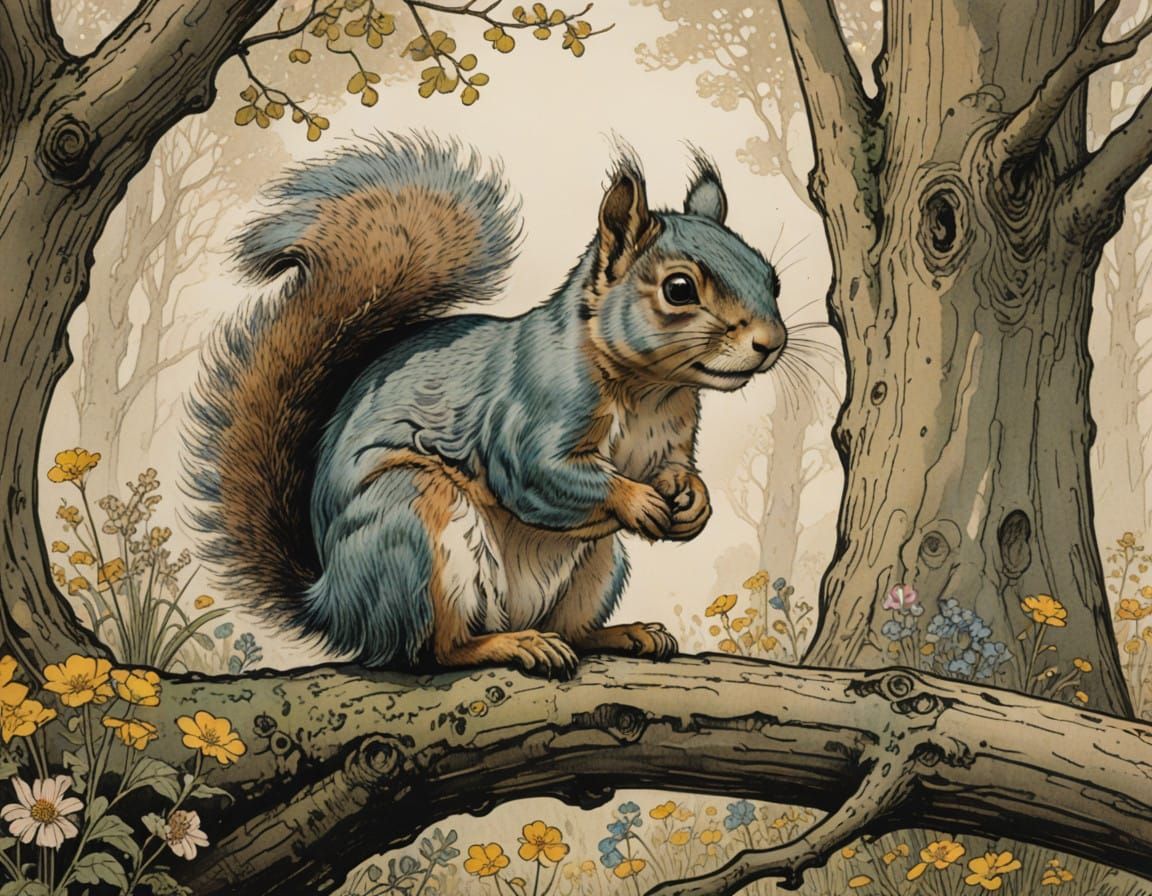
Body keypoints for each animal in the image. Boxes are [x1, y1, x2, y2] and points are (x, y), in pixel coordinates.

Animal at [185, 133, 787, 679]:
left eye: (771, 278)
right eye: (679, 289)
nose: (771, 342)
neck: (649, 390)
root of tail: (331, 604)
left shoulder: (671, 437)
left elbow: (676, 469)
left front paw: (693, 501)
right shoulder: (528, 419)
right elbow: (543, 475)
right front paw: (637, 501)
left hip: (598, 564)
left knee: (572, 630)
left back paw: (623, 634)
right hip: (411, 526)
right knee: (434, 649)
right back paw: (511, 644)